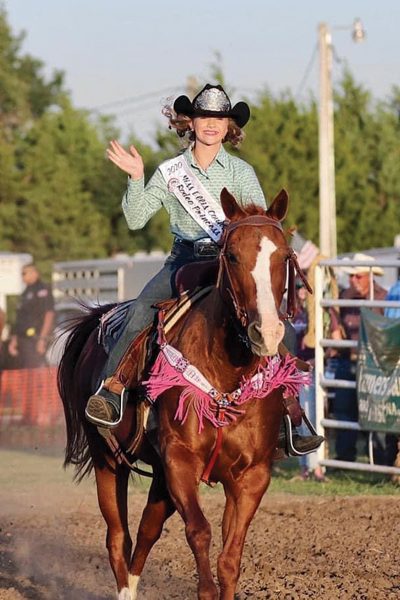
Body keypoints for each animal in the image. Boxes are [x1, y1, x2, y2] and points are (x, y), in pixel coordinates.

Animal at [57, 189, 304, 600]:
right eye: (231, 255)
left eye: (284, 256)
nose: (265, 332)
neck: (226, 376)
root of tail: (98, 319)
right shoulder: (180, 462)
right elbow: (199, 531)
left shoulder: (252, 475)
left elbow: (230, 558)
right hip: (107, 458)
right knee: (118, 536)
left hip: (158, 475)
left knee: (146, 531)